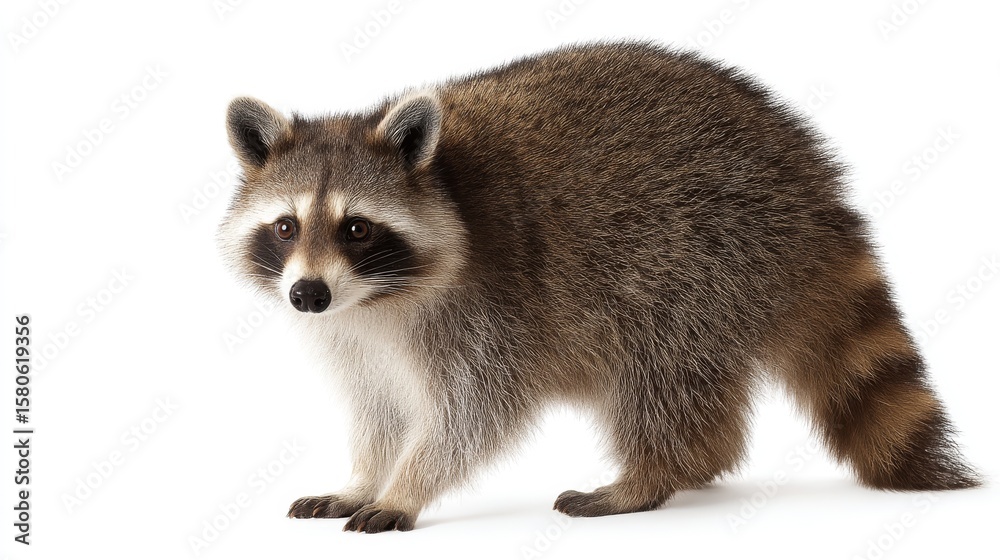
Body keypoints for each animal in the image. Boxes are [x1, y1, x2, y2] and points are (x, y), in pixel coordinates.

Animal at [217, 41, 979, 533]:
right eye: (285, 227)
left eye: (355, 228)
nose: (307, 295)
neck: (377, 298)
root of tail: (806, 174)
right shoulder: (350, 331)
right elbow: (379, 407)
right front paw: (363, 474)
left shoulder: (490, 305)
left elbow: (475, 413)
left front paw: (410, 483)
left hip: (703, 257)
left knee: (659, 372)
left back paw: (651, 475)